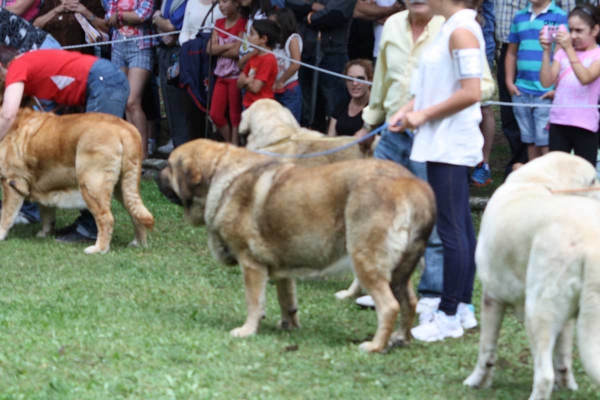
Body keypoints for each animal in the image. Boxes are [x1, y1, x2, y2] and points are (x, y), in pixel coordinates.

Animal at [0, 108, 156, 255]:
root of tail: (125, 130)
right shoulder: (43, 188)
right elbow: (46, 213)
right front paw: (45, 233)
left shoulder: (11, 183)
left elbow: (6, 215)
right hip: (124, 186)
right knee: (136, 213)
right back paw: (138, 243)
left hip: (91, 186)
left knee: (106, 218)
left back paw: (99, 249)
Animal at [157, 139, 434, 352]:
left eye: (169, 166)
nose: (158, 169)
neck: (219, 177)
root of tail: (413, 186)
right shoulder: (282, 266)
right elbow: (286, 299)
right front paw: (288, 325)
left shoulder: (251, 264)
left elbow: (254, 301)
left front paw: (247, 330)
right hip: (400, 271)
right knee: (409, 301)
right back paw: (402, 339)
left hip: (366, 260)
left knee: (389, 306)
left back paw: (375, 346)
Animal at [464, 152, 600, 398]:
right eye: (593, 180)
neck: (537, 181)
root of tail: (591, 241)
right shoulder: (565, 319)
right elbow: (563, 357)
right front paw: (567, 386)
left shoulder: (492, 297)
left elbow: (486, 350)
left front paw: (476, 381)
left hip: (538, 312)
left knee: (544, 376)